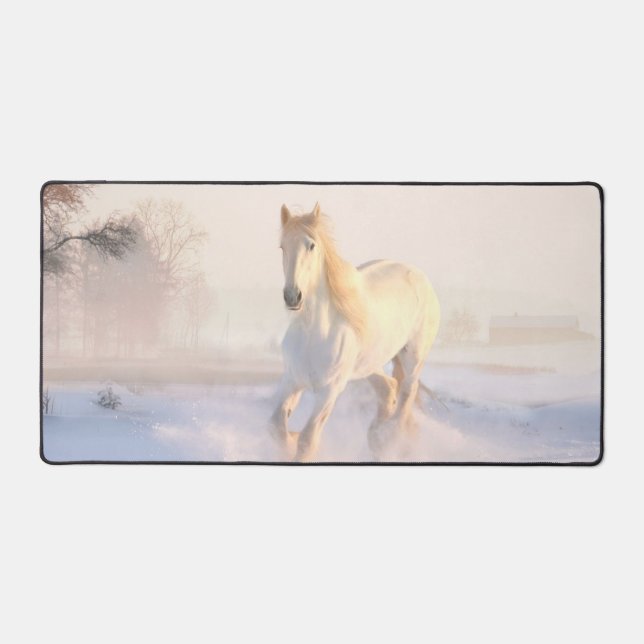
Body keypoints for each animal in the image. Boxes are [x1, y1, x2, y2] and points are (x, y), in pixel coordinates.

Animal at [269, 203, 440, 462]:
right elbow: (277, 426)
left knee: (407, 393)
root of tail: (418, 275)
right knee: (389, 388)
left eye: (311, 245)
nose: (292, 296)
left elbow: (308, 439)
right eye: (282, 246)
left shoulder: (329, 390)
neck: (313, 333)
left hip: (413, 357)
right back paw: (376, 437)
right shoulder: (292, 379)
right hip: (368, 365)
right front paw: (290, 440)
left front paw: (298, 441)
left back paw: (388, 438)